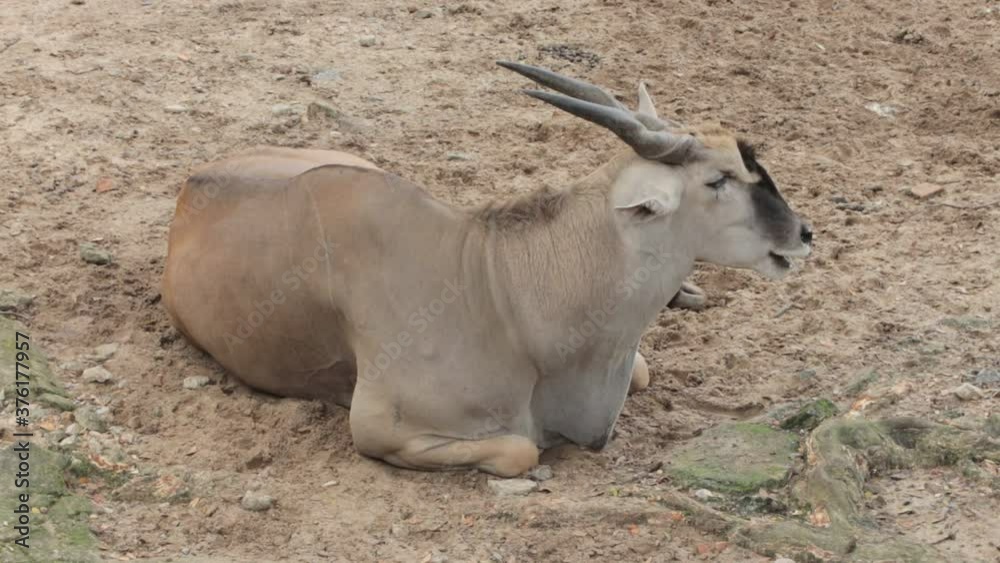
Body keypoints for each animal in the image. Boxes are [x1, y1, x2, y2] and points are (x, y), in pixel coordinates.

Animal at [162, 62, 812, 477]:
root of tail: (195, 184)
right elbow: (522, 451)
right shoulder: (381, 429)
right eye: (719, 179)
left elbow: (645, 373)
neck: (503, 289)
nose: (803, 233)